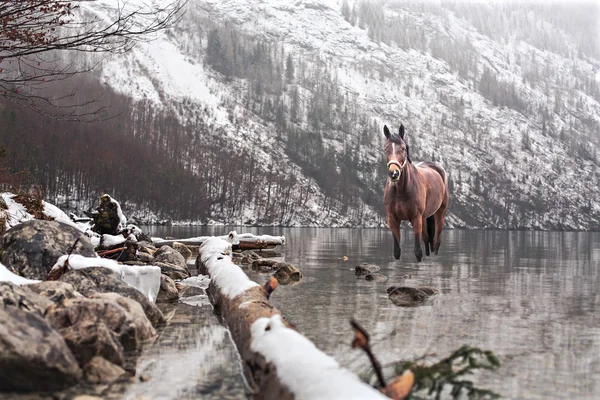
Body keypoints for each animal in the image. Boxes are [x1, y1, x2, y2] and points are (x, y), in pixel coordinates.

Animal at [384, 125, 450, 262]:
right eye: (386, 148)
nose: (394, 173)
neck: (401, 191)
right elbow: (397, 252)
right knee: (426, 239)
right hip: (424, 217)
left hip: (439, 213)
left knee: (436, 241)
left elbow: (417, 251)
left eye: (403, 148)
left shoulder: (416, 218)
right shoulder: (392, 219)